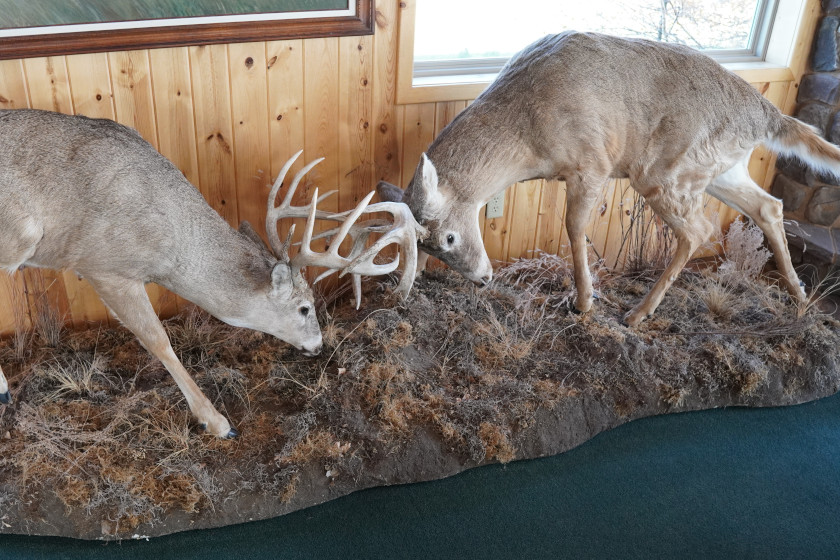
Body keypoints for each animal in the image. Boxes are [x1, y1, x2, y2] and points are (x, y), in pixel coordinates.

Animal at [0, 109, 424, 438]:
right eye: (304, 308)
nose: (318, 345)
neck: (171, 246)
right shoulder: (103, 265)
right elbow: (158, 340)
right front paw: (217, 422)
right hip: (22, 234)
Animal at [378, 30, 840, 326]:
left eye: (450, 237)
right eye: (429, 247)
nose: (482, 278)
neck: (526, 133)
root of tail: (767, 115)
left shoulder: (591, 163)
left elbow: (574, 226)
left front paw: (585, 302)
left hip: (664, 171)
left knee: (700, 229)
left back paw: (638, 313)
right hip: (719, 169)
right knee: (769, 205)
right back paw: (799, 297)